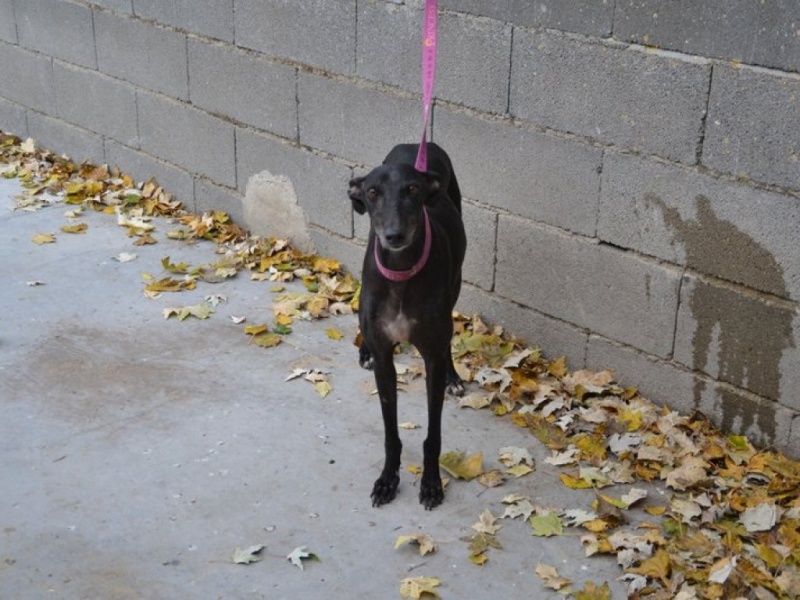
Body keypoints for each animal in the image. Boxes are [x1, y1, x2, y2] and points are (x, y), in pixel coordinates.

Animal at [346, 143, 466, 508]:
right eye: (372, 192)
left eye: (412, 189)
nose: (393, 235)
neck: (400, 273)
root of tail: (416, 146)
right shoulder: (385, 362)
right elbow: (390, 433)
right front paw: (387, 480)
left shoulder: (431, 358)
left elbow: (433, 435)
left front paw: (431, 484)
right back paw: (364, 352)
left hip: (455, 285)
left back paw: (455, 378)